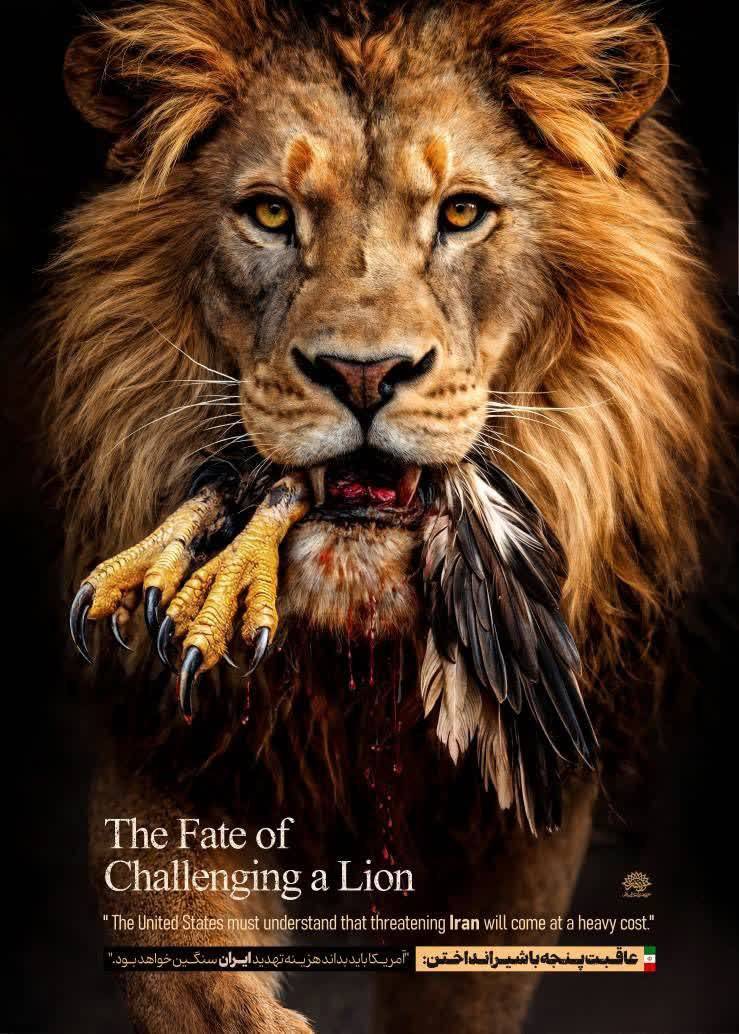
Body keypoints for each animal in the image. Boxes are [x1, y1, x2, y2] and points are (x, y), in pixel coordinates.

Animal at [46, 1, 723, 1031]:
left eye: (461, 212)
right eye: (270, 212)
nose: (362, 374)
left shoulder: (528, 818)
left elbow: (461, 993)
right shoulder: (162, 745)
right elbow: (177, 963)